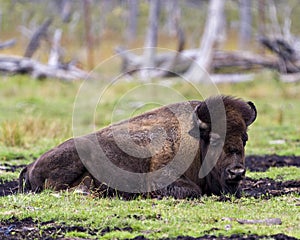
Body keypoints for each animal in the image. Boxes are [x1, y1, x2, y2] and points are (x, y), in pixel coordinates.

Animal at [18, 95, 256, 199]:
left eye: (245, 138)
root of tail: (31, 165)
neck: (196, 139)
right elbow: (192, 191)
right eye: (215, 139)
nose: (236, 171)